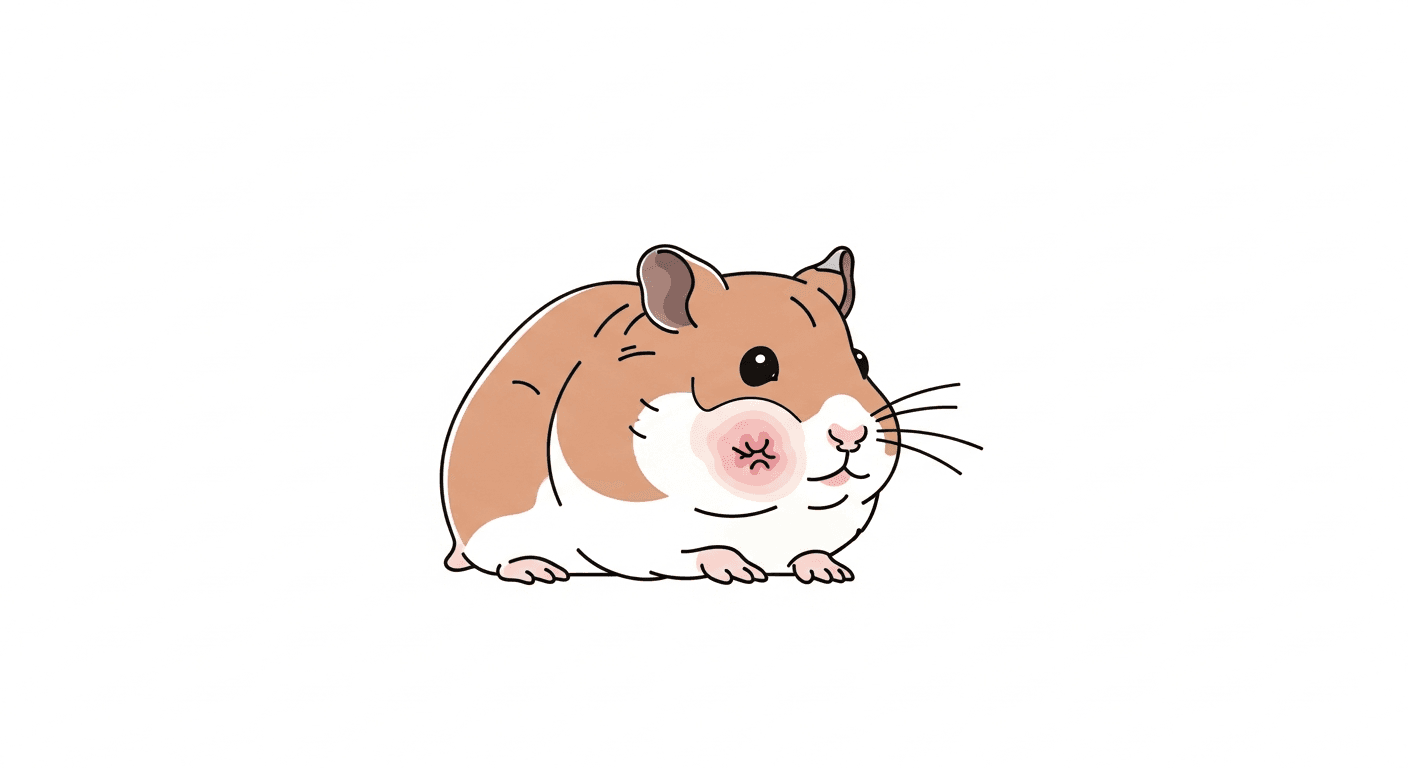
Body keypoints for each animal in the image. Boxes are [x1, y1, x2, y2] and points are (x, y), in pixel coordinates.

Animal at [438, 245, 908, 584]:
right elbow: (696, 551)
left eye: (862, 362)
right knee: (496, 555)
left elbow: (807, 551)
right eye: (757, 365)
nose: (849, 435)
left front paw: (832, 572)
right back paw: (539, 570)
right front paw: (739, 571)